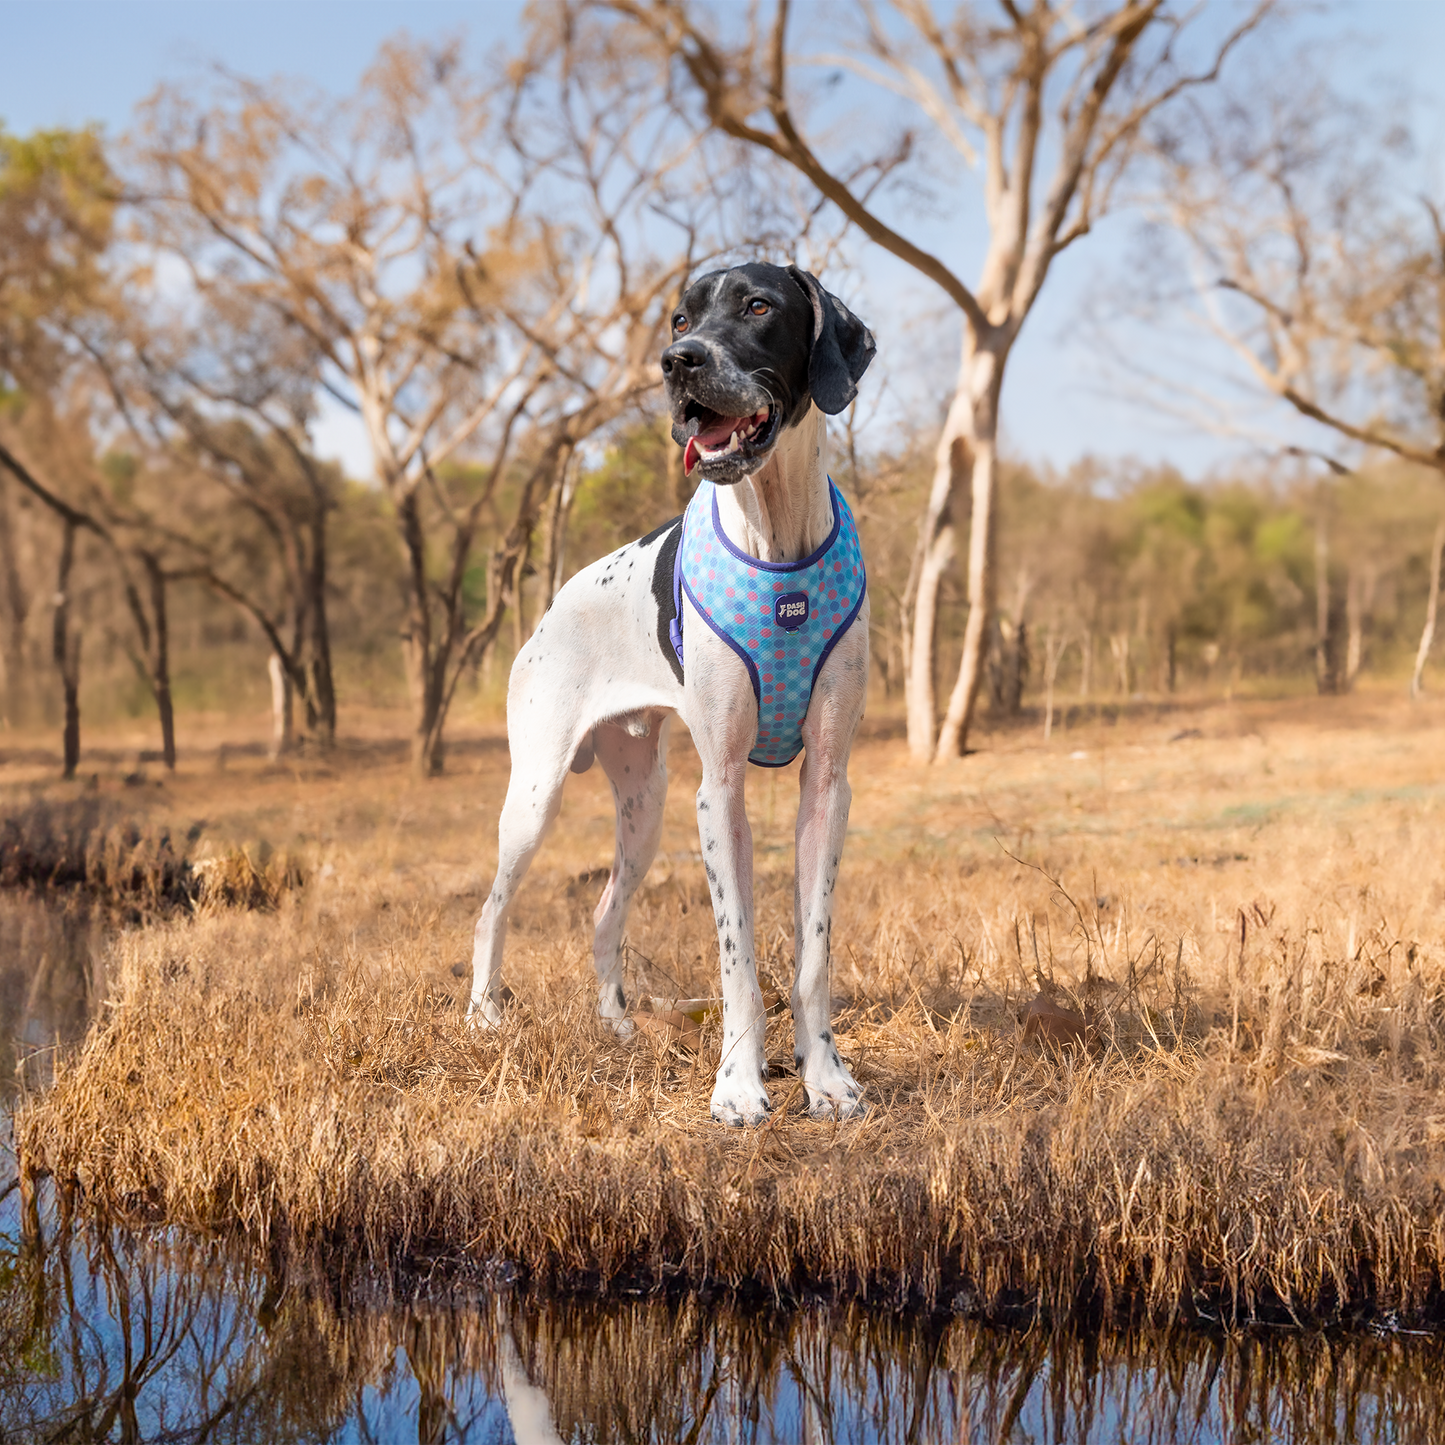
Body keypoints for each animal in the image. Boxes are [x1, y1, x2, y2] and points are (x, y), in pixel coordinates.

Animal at [468, 262, 872, 1127]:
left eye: (757, 306)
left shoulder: (828, 783)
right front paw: (738, 1082)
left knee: (601, 915)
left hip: (644, 806)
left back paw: (617, 1023)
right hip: (535, 798)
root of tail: (553, 603)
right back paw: (483, 1014)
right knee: (491, 908)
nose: (677, 362)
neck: (775, 531)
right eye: (681, 318)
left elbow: (812, 954)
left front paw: (823, 1076)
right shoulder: (718, 790)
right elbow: (737, 958)